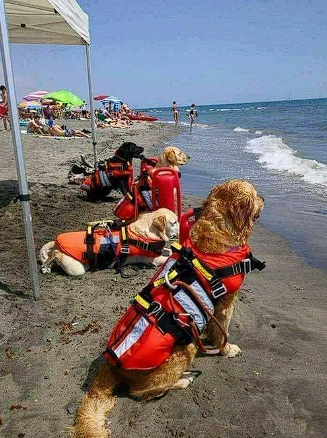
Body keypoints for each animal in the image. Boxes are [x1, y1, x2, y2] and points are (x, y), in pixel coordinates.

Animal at [41, 208, 181, 276]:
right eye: (174, 222)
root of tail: (56, 242)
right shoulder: (154, 259)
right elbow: (167, 258)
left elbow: (169, 251)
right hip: (76, 268)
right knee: (55, 254)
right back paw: (46, 265)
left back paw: (48, 266)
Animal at [70, 179, 266, 438]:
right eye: (255, 193)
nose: (264, 197)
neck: (218, 229)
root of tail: (110, 365)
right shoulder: (226, 304)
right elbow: (223, 331)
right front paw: (227, 349)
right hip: (186, 349)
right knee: (142, 392)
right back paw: (183, 379)